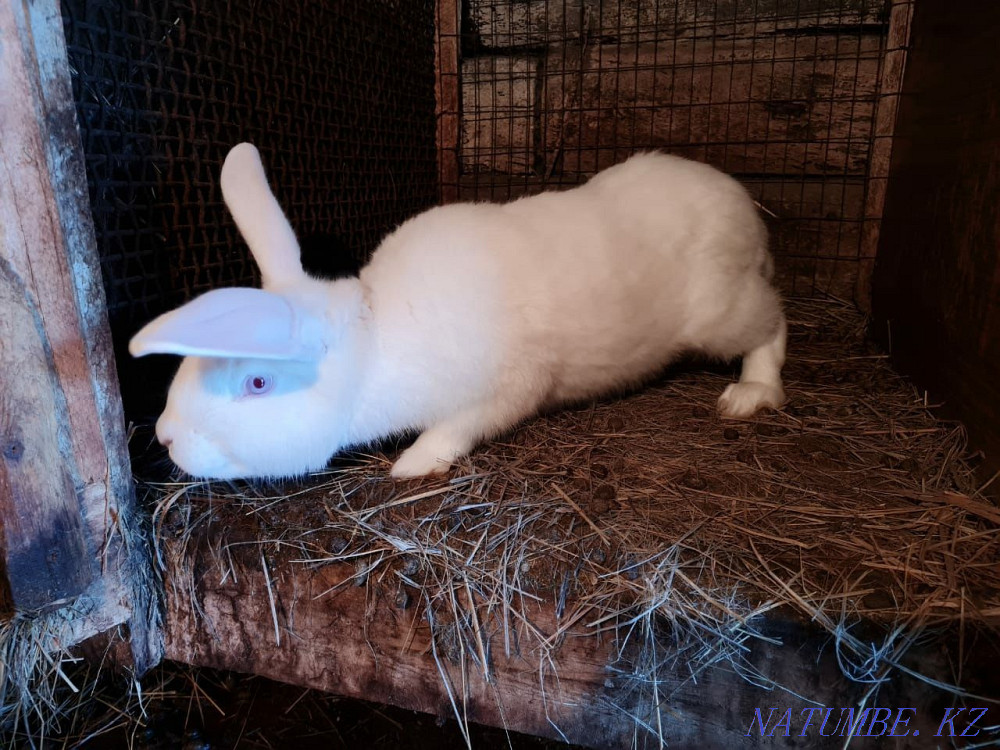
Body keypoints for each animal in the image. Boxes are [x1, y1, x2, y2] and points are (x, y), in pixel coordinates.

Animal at [130, 143, 786, 480]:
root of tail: (745, 209)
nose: (164, 437)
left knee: (772, 324)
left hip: (721, 309)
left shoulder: (504, 391)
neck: (378, 339)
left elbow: (458, 429)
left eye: (258, 383)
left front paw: (411, 464)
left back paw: (750, 395)